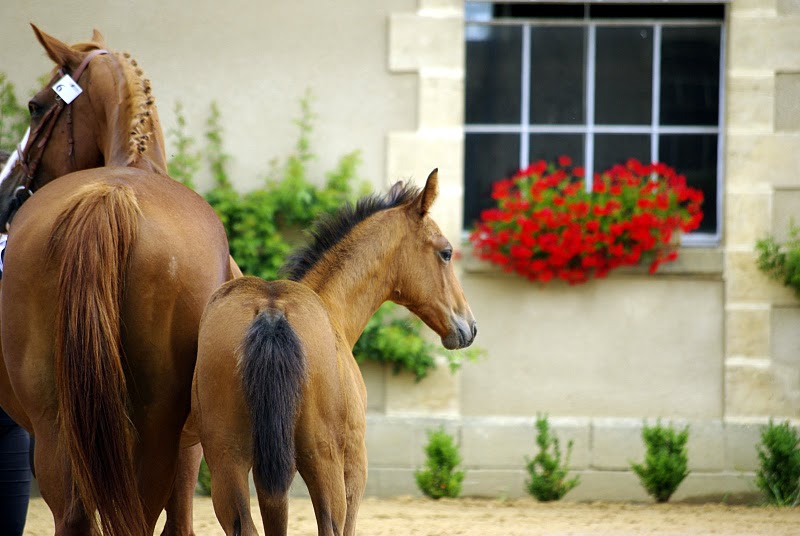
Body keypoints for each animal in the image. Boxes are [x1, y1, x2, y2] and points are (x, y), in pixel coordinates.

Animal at [0, 27, 234, 532]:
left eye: (36, 106)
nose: (6, 190)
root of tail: (110, 196)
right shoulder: (188, 451)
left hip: (56, 429)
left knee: (74, 514)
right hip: (151, 432)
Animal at [192, 171, 476, 536]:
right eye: (446, 252)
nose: (468, 326)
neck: (332, 308)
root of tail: (271, 311)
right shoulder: (354, 462)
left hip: (228, 459)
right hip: (321, 459)